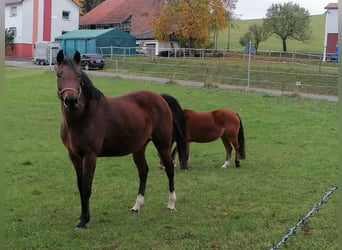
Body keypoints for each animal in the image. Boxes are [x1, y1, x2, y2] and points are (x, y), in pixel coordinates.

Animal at [55, 50, 187, 229]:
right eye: (59, 74)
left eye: (79, 75)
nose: (71, 101)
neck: (83, 117)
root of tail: (160, 97)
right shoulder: (74, 156)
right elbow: (80, 186)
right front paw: (81, 217)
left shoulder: (90, 156)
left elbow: (87, 187)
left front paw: (84, 220)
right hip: (139, 148)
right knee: (143, 172)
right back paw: (137, 206)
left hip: (163, 144)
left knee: (169, 170)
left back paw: (171, 203)